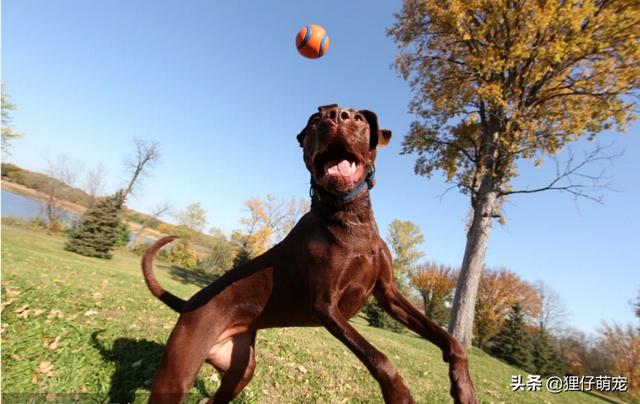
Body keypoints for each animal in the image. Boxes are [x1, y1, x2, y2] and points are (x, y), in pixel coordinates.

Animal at [142, 105, 478, 404]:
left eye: (358, 118)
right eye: (316, 121)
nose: (335, 115)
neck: (350, 218)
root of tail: (188, 304)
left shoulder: (388, 294)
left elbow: (451, 341)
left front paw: (464, 388)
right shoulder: (325, 305)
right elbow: (380, 359)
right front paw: (400, 395)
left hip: (240, 369)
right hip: (178, 372)